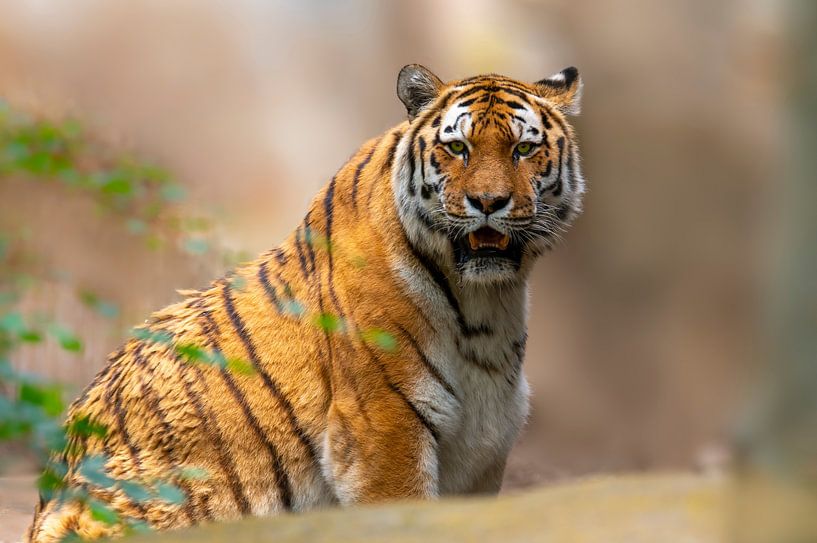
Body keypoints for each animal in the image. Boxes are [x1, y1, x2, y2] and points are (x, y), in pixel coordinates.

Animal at [26, 64, 585, 542]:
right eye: (458, 147)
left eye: (523, 149)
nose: (488, 203)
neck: (486, 304)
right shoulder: (383, 426)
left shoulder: (483, 448)